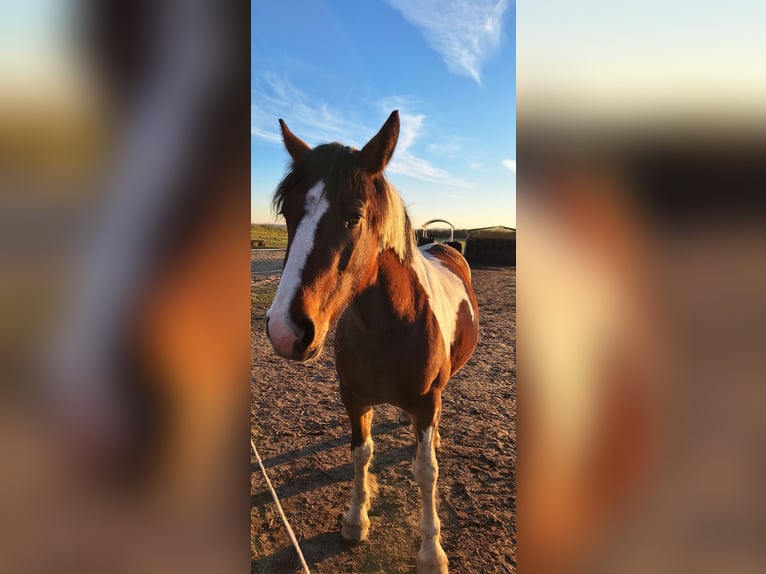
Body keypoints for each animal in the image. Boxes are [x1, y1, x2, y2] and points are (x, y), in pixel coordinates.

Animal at [268, 110, 476, 572]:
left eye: (353, 216)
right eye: (289, 213)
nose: (286, 330)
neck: (390, 328)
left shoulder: (427, 402)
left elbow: (425, 471)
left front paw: (431, 552)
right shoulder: (354, 397)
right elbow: (360, 453)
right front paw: (354, 521)